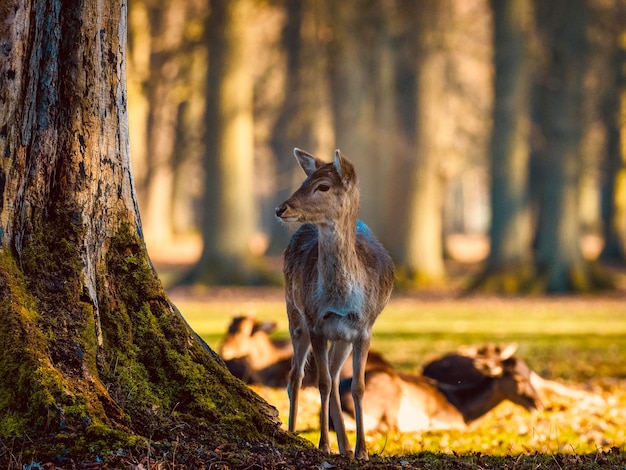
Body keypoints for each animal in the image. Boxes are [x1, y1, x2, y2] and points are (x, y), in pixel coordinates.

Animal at [276, 148, 392, 458]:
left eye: (323, 186)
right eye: (305, 181)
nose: (281, 209)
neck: (340, 301)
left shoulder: (364, 328)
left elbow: (358, 387)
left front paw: (361, 450)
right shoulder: (316, 322)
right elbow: (322, 382)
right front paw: (324, 445)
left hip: (342, 337)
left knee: (337, 377)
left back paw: (346, 447)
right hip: (294, 313)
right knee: (295, 377)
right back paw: (293, 432)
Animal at [338, 342, 540, 434]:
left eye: (530, 373)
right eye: (520, 378)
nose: (539, 404)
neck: (464, 409)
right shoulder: (448, 419)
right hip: (389, 394)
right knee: (390, 426)